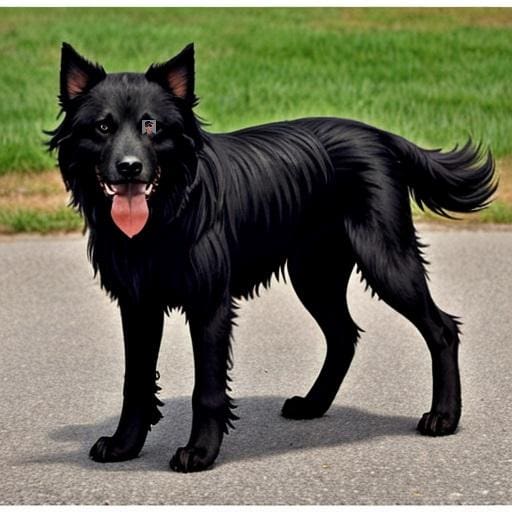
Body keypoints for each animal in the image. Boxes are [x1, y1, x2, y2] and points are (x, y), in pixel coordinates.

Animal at [48, 43, 496, 472]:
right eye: (103, 127)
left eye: (151, 125)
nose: (129, 168)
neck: (169, 209)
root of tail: (380, 135)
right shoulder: (137, 304)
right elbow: (136, 380)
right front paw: (125, 445)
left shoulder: (210, 304)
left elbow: (207, 389)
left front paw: (200, 453)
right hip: (314, 274)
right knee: (344, 335)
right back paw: (313, 404)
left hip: (386, 259)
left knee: (441, 328)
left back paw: (444, 417)